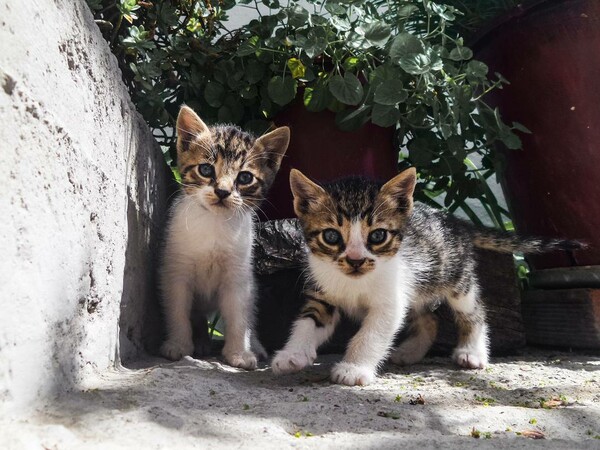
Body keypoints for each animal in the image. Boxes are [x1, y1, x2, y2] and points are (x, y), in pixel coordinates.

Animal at [159, 106, 290, 370]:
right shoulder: (176, 270)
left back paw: (255, 346)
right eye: (206, 169)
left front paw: (239, 353)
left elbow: (239, 315)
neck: (215, 225)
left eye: (245, 178)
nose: (222, 191)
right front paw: (178, 344)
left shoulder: (238, 276)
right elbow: (177, 309)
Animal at [274, 167, 584, 384]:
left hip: (458, 281)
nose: (355, 260)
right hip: (418, 287)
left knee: (474, 312)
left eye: (377, 236)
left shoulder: (391, 301)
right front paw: (292, 355)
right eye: (331, 236)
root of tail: (454, 220)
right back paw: (409, 352)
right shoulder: (322, 293)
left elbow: (371, 334)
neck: (354, 282)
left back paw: (473, 352)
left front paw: (353, 368)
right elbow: (307, 323)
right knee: (430, 321)